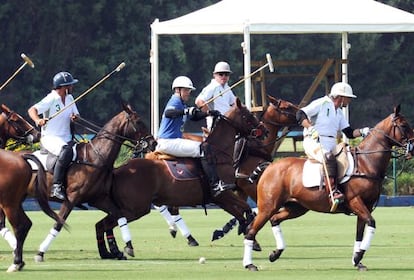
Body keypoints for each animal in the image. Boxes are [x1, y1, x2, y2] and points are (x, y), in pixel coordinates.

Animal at [29, 103, 155, 262]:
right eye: (138, 122)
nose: (154, 143)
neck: (95, 157)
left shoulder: (99, 198)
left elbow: (119, 214)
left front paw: (127, 246)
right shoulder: (71, 198)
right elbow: (59, 223)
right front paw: (40, 253)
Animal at [92, 97, 266, 260]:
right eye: (248, 115)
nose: (264, 130)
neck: (219, 153)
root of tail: (117, 170)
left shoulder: (220, 199)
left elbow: (241, 214)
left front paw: (247, 238)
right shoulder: (222, 193)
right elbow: (247, 210)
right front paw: (251, 239)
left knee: (102, 224)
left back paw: (110, 251)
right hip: (136, 208)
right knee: (109, 222)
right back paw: (124, 248)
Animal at [243, 105, 414, 272]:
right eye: (404, 125)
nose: (412, 149)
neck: (366, 162)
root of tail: (269, 166)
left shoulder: (366, 206)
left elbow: (359, 233)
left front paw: (357, 260)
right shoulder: (355, 201)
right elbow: (371, 223)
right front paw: (358, 256)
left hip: (296, 207)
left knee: (274, 219)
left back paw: (275, 253)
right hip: (268, 206)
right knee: (251, 230)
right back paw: (249, 264)